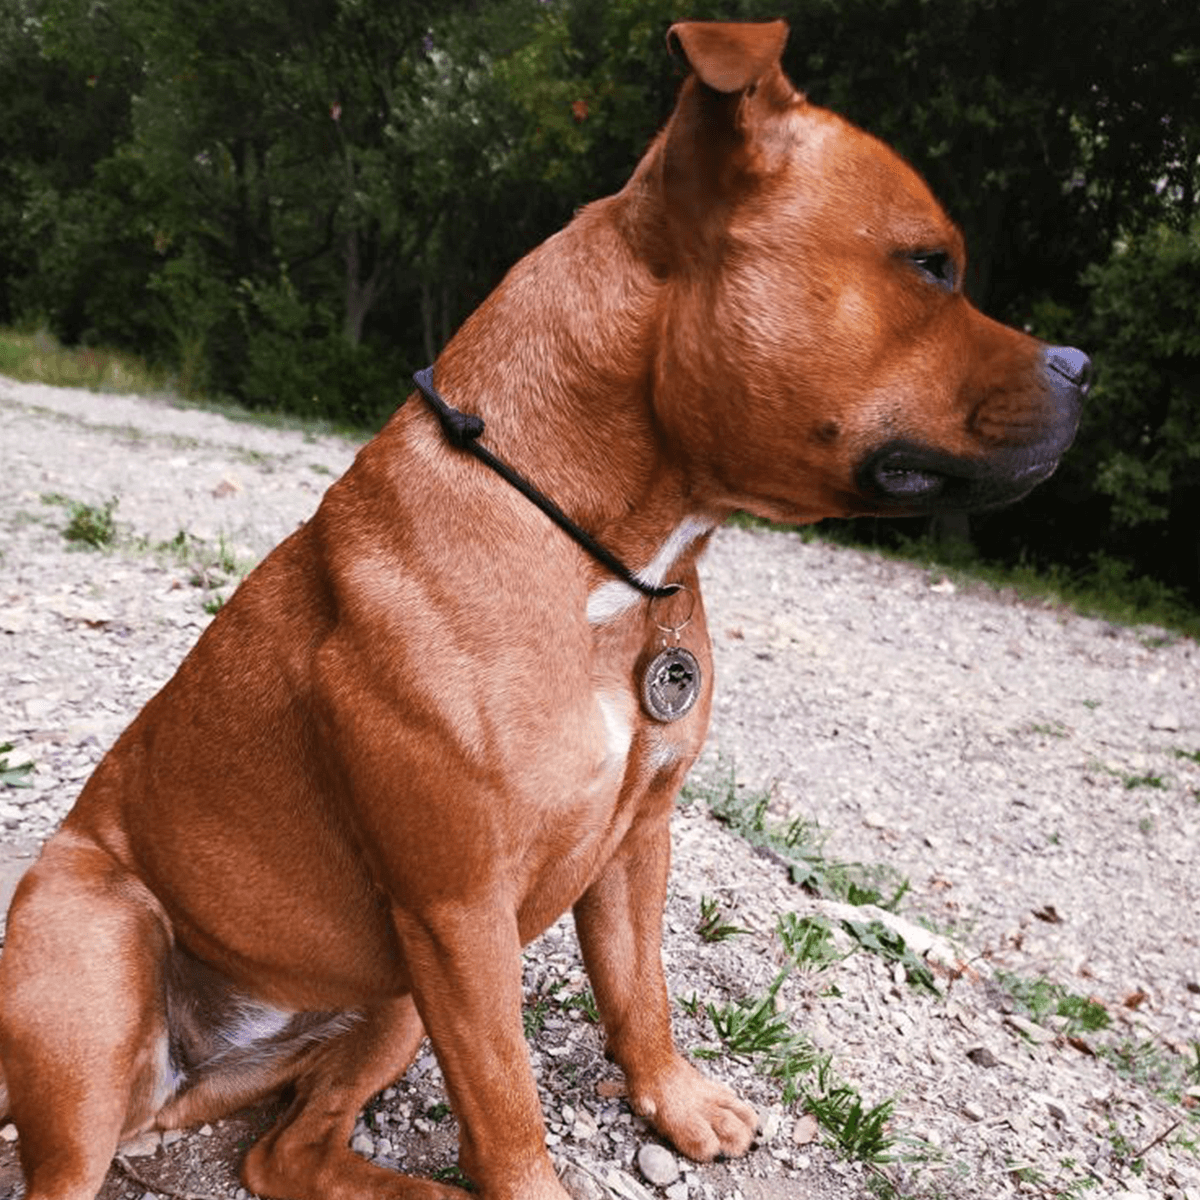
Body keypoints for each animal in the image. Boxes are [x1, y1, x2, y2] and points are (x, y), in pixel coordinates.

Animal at [0, 21, 1089, 1200]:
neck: (603, 556)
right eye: (931, 266)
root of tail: (177, 1089)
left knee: (288, 1152)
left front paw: (675, 1102)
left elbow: (639, 991)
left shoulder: (633, 839)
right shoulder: (459, 913)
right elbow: (507, 1100)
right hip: (102, 964)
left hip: (387, 1001)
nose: (1084, 366)